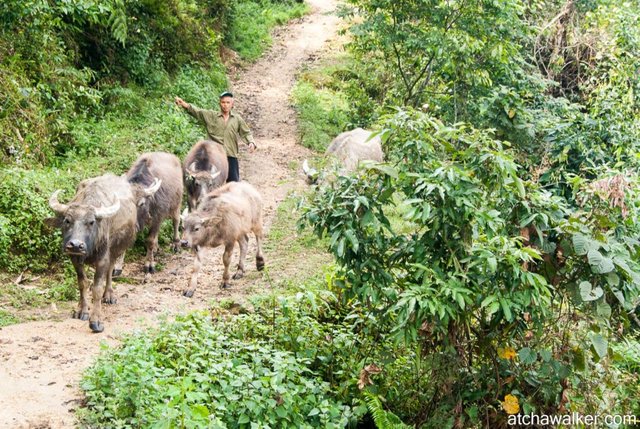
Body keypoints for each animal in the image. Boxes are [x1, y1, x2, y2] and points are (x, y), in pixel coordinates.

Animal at [47, 171, 161, 332]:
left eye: (91, 222)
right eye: (67, 221)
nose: (76, 245)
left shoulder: (103, 258)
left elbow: (97, 288)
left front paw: (96, 321)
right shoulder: (74, 258)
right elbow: (82, 283)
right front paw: (81, 310)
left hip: (116, 249)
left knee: (110, 270)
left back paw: (109, 295)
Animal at [111, 150, 182, 278]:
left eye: (141, 203)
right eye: (125, 203)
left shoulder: (158, 218)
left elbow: (150, 240)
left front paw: (149, 265)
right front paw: (117, 267)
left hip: (176, 204)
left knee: (176, 221)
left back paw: (176, 244)